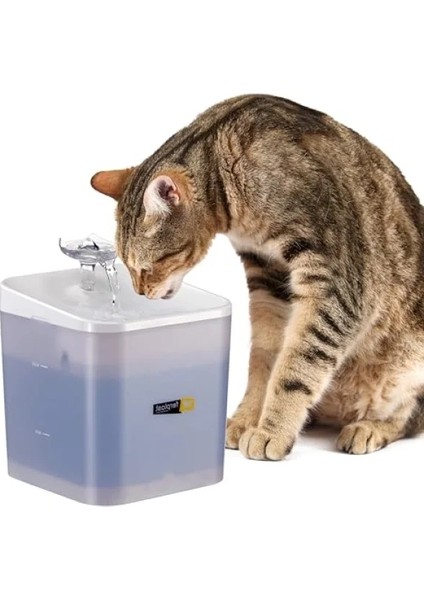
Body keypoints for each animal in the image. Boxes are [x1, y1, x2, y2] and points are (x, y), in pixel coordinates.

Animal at [91, 94, 424, 460]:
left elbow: (296, 366)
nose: (140, 292)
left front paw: (272, 430)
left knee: (408, 419)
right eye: (127, 266)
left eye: (147, 266)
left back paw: (367, 428)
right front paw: (248, 418)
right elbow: (264, 361)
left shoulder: (333, 283)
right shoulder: (267, 277)